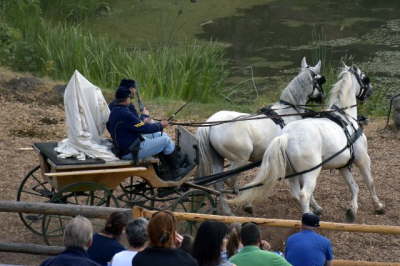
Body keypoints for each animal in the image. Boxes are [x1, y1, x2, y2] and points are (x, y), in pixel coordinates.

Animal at [197, 57, 324, 214]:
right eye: (320, 80)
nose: (322, 97)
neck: (287, 111)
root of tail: (211, 124)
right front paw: (315, 206)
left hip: (218, 159)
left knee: (219, 183)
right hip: (239, 159)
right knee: (228, 180)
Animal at [231, 64, 384, 222]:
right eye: (365, 78)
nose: (371, 91)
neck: (345, 117)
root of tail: (286, 136)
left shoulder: (343, 165)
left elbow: (354, 187)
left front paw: (352, 210)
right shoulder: (363, 159)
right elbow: (370, 182)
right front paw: (378, 206)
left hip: (292, 172)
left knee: (296, 193)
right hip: (311, 172)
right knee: (304, 194)